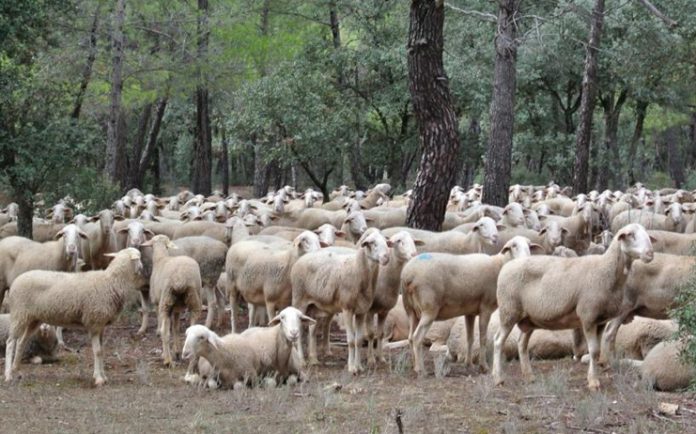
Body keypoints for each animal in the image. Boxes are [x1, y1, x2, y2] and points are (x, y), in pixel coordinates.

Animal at [4, 248, 144, 386]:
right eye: (139, 257)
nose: (142, 267)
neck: (111, 281)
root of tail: (15, 282)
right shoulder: (94, 322)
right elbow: (97, 351)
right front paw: (98, 378)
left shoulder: (101, 326)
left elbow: (102, 351)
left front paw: (103, 377)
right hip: (19, 314)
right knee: (10, 342)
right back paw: (8, 375)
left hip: (33, 319)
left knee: (21, 341)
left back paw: (16, 368)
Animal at [141, 235, 202, 367]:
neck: (160, 258)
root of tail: (180, 279)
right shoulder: (177, 309)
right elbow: (176, 328)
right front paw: (177, 352)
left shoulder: (157, 303)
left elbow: (164, 328)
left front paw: (168, 354)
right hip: (194, 299)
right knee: (192, 329)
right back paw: (191, 358)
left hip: (165, 301)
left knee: (165, 332)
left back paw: (167, 360)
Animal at [291, 230, 390, 373]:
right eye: (372, 243)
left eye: (386, 242)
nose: (386, 257)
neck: (357, 269)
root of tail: (300, 260)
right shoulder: (347, 309)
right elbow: (351, 340)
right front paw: (352, 368)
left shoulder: (362, 312)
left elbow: (358, 340)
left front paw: (359, 367)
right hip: (299, 301)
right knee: (299, 330)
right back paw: (301, 361)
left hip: (314, 306)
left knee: (312, 330)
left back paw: (314, 360)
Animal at [401, 236, 544, 375]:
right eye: (513, 246)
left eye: (529, 246)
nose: (526, 259)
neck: (498, 265)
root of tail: (408, 274)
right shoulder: (486, 308)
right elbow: (483, 338)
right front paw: (483, 367)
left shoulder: (470, 312)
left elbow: (470, 338)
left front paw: (468, 364)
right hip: (429, 309)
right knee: (417, 337)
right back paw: (421, 370)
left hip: (411, 310)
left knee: (410, 337)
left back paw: (414, 366)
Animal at [492, 224, 655, 390]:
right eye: (631, 235)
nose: (650, 253)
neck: (606, 269)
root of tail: (507, 266)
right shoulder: (588, 315)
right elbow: (593, 351)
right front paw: (593, 382)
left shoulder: (600, 320)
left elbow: (596, 351)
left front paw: (594, 378)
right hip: (508, 310)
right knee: (498, 341)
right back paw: (498, 378)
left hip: (529, 318)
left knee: (522, 344)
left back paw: (529, 376)